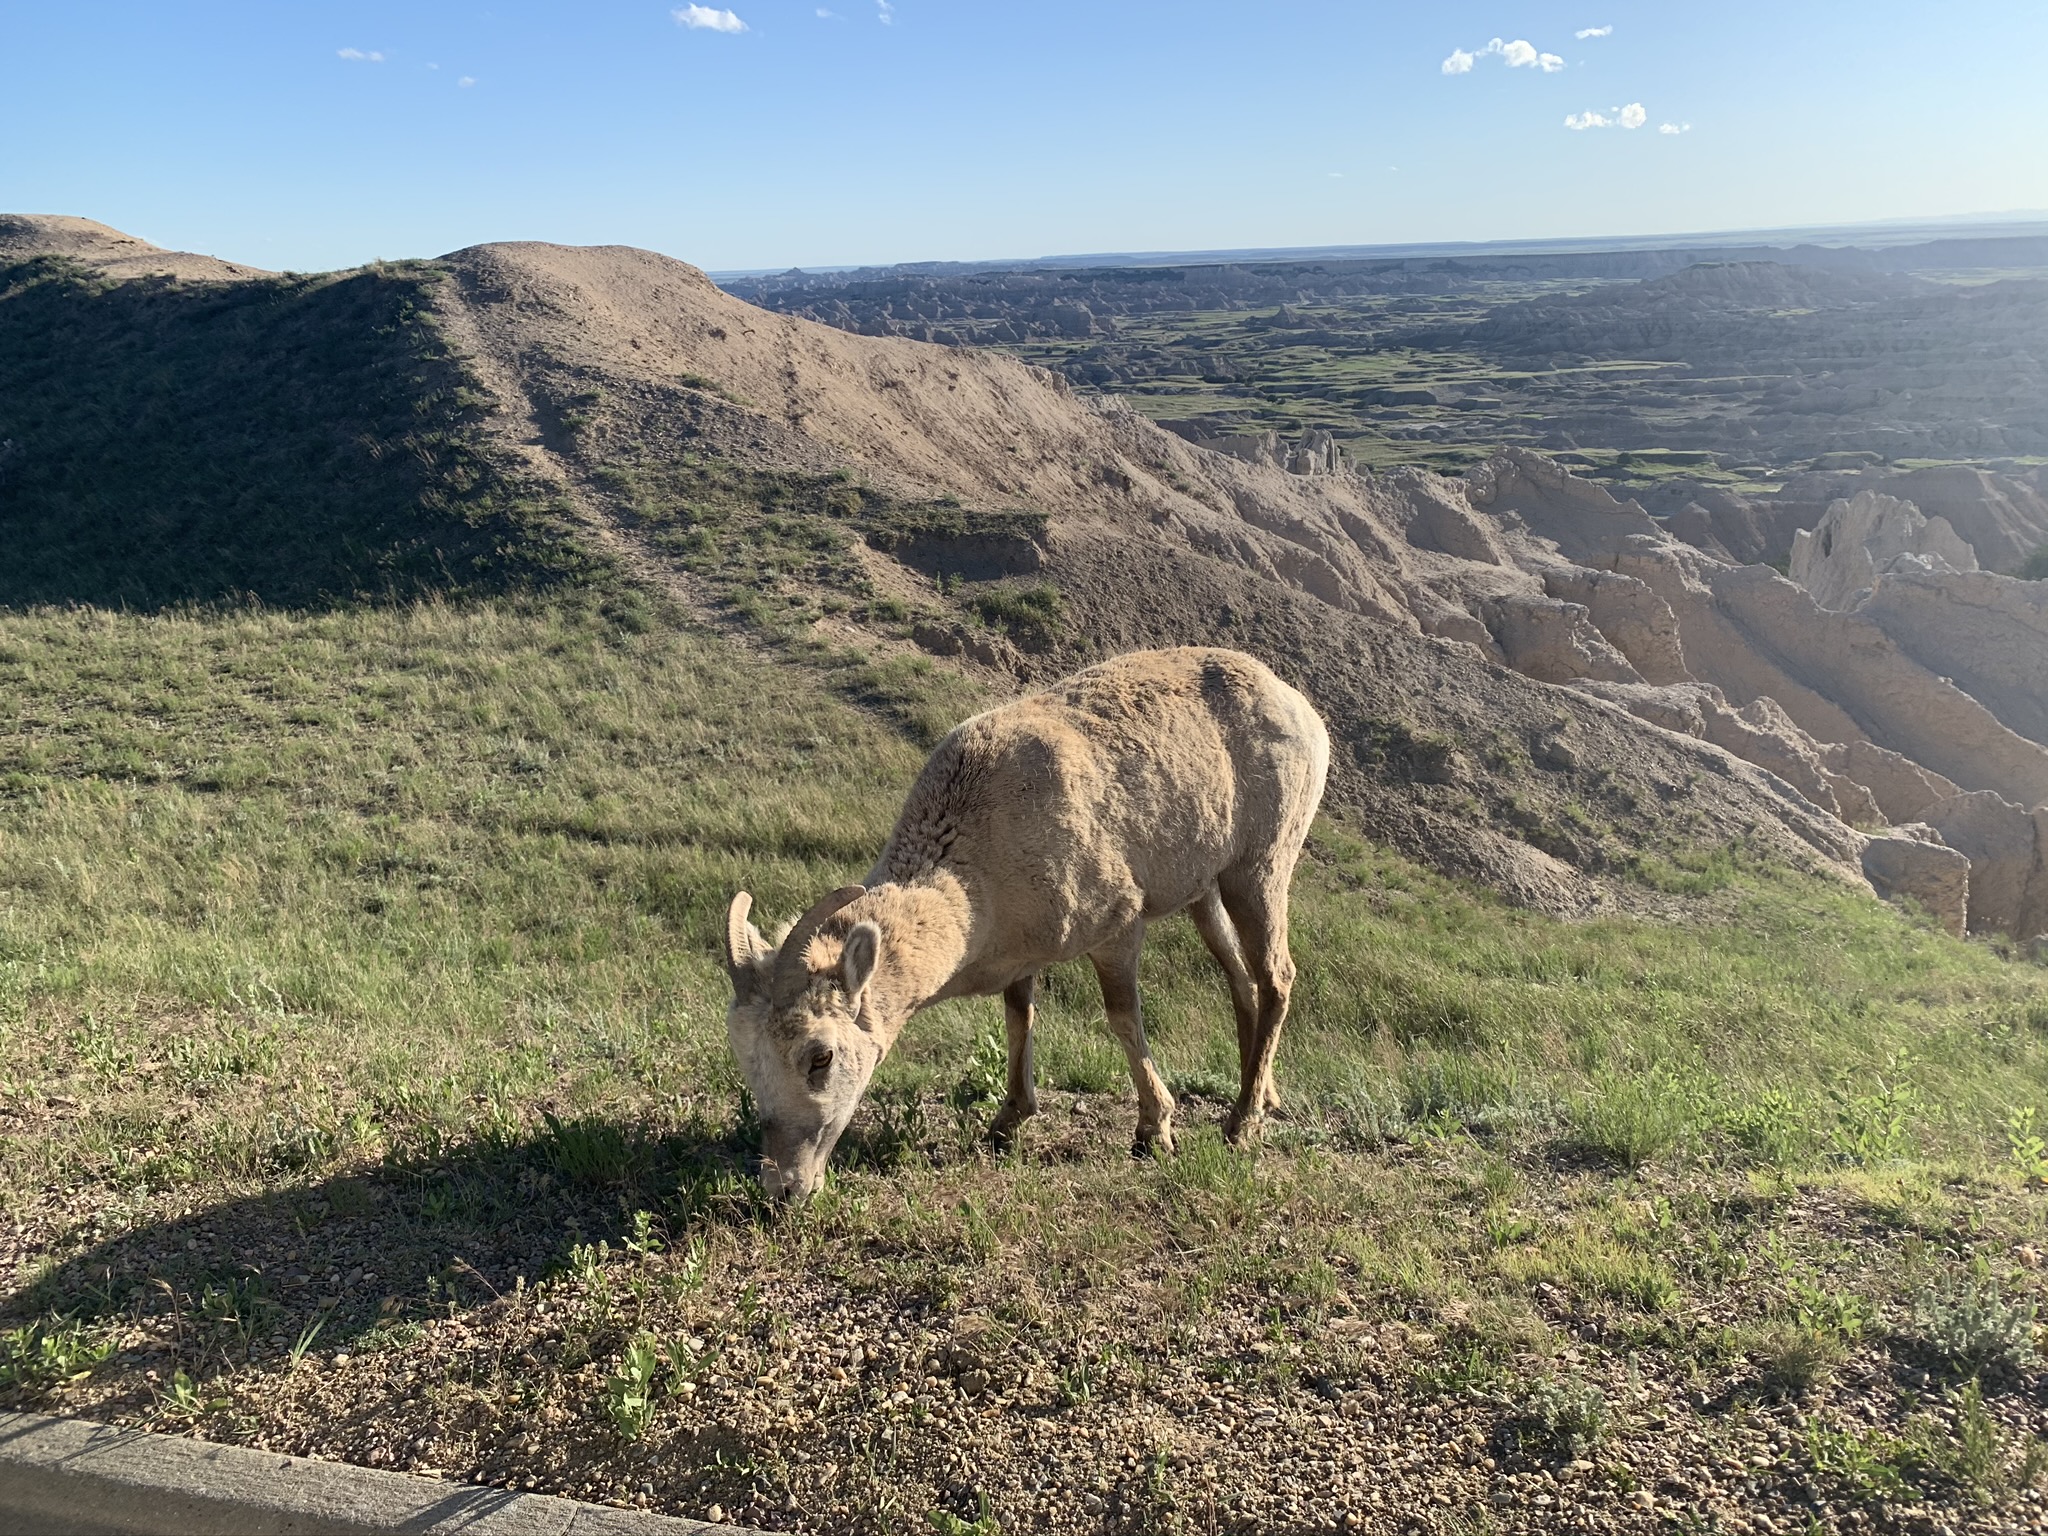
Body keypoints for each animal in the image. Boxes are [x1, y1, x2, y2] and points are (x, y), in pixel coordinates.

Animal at [720, 651, 1327, 1204]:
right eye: (746, 1057)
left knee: (1277, 977)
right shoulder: (1019, 957)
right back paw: (1263, 1097)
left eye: (820, 1056)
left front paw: (1154, 1133)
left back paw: (1241, 1125)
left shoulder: (1118, 929)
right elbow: (1019, 1019)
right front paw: (1006, 1124)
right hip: (1207, 890)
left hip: (1261, 866)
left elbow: (1122, 1018)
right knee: (1242, 980)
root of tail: (1302, 708)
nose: (783, 1187)